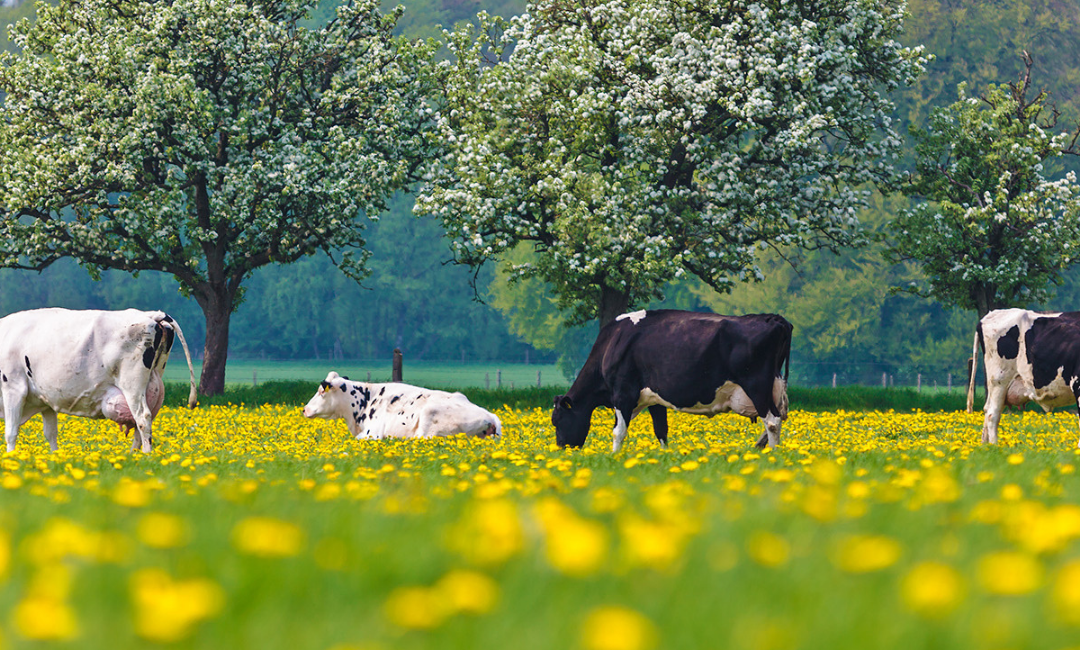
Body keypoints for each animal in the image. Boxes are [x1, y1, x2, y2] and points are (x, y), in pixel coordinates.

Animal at [0, 306, 197, 451]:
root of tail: (150, 314)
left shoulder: (13, 387)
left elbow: (11, 432)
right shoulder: (46, 399)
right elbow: (50, 433)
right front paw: (55, 457)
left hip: (132, 384)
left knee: (143, 418)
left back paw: (145, 456)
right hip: (152, 383)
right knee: (141, 423)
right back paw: (133, 456)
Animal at [552, 308, 790, 451]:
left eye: (557, 420)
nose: (562, 449)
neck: (613, 342)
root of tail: (772, 318)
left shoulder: (622, 393)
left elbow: (618, 432)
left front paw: (614, 457)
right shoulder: (653, 399)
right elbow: (661, 431)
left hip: (756, 385)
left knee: (772, 421)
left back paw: (772, 454)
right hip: (774, 387)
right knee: (775, 420)